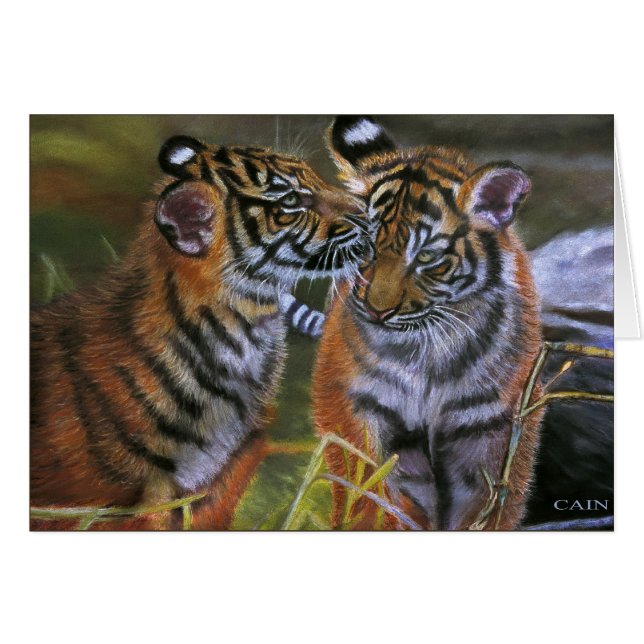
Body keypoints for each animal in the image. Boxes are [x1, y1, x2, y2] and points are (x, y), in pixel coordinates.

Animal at [30, 134, 368, 530]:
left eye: (313, 175)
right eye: (290, 201)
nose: (368, 212)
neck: (245, 335)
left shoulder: (221, 478)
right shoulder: (124, 500)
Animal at [312, 116, 544, 530]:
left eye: (425, 258)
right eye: (364, 248)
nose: (378, 311)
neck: (427, 348)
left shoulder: (493, 423)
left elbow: (489, 508)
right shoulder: (349, 400)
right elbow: (365, 492)